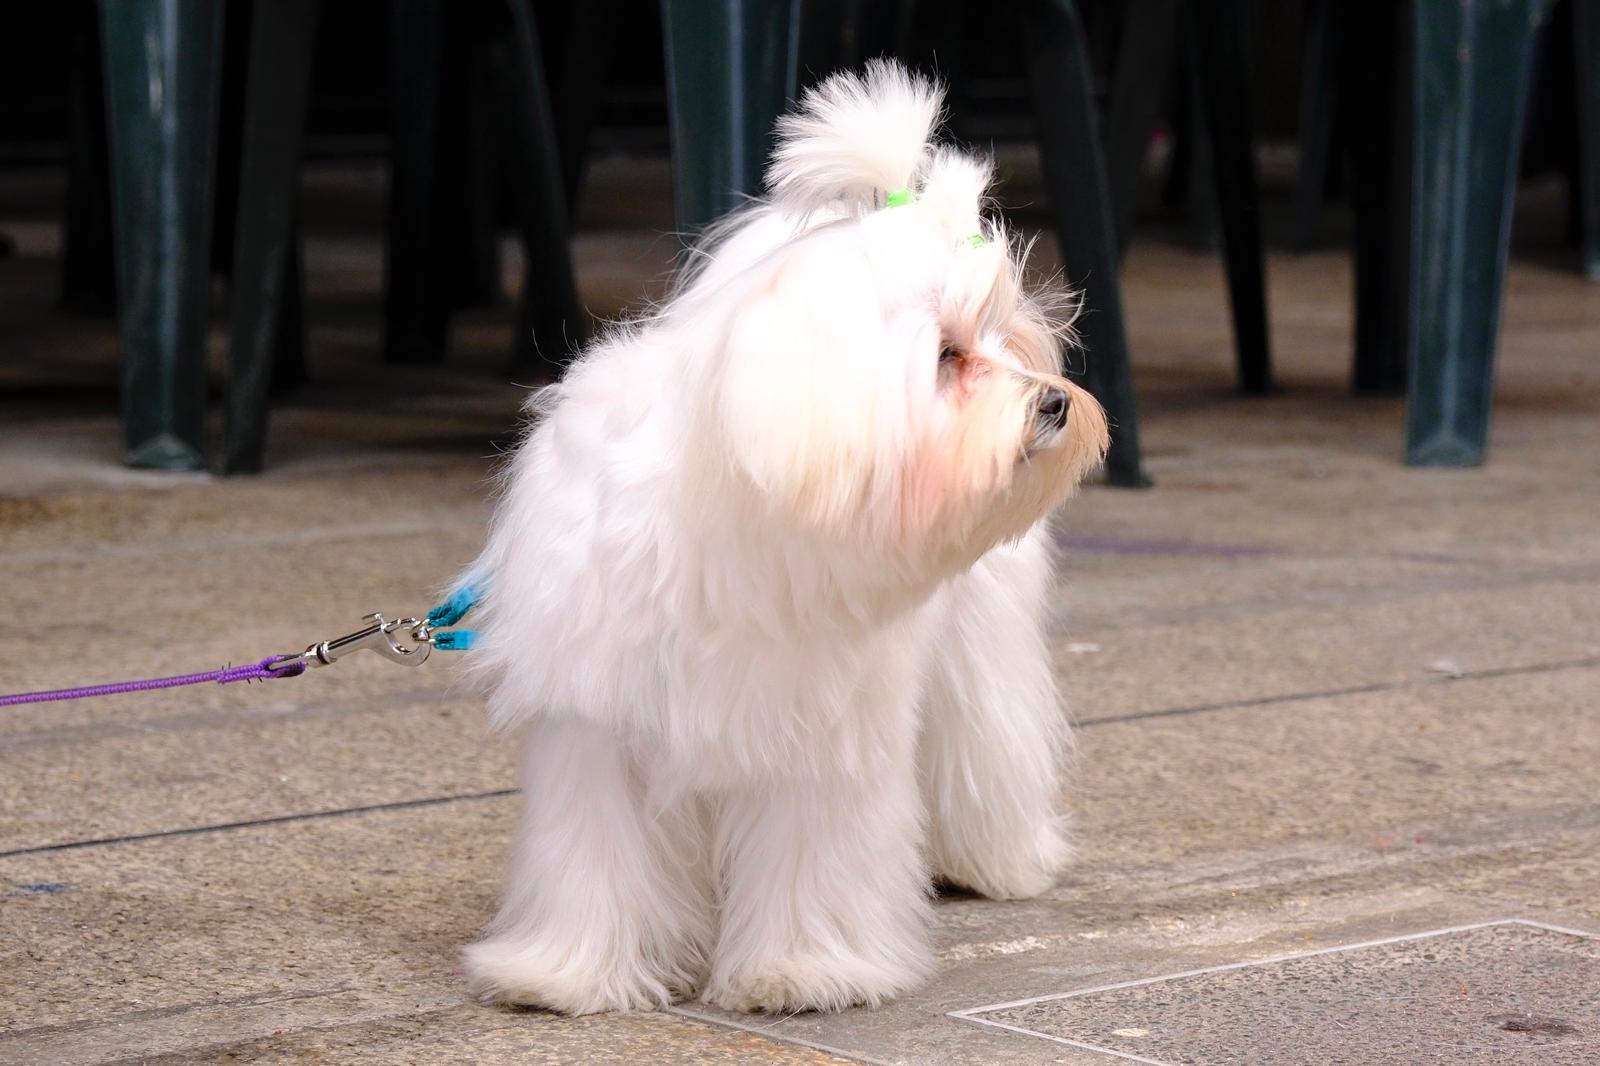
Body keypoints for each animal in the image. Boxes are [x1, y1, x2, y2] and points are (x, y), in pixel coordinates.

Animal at [457, 60, 1107, 1011]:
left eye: (1005, 341)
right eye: (947, 356)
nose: (1055, 401)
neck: (739, 520)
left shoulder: (820, 736)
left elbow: (809, 856)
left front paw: (799, 970)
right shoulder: (599, 723)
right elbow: (599, 855)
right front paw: (572, 973)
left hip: (976, 655)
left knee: (987, 742)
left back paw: (998, 860)